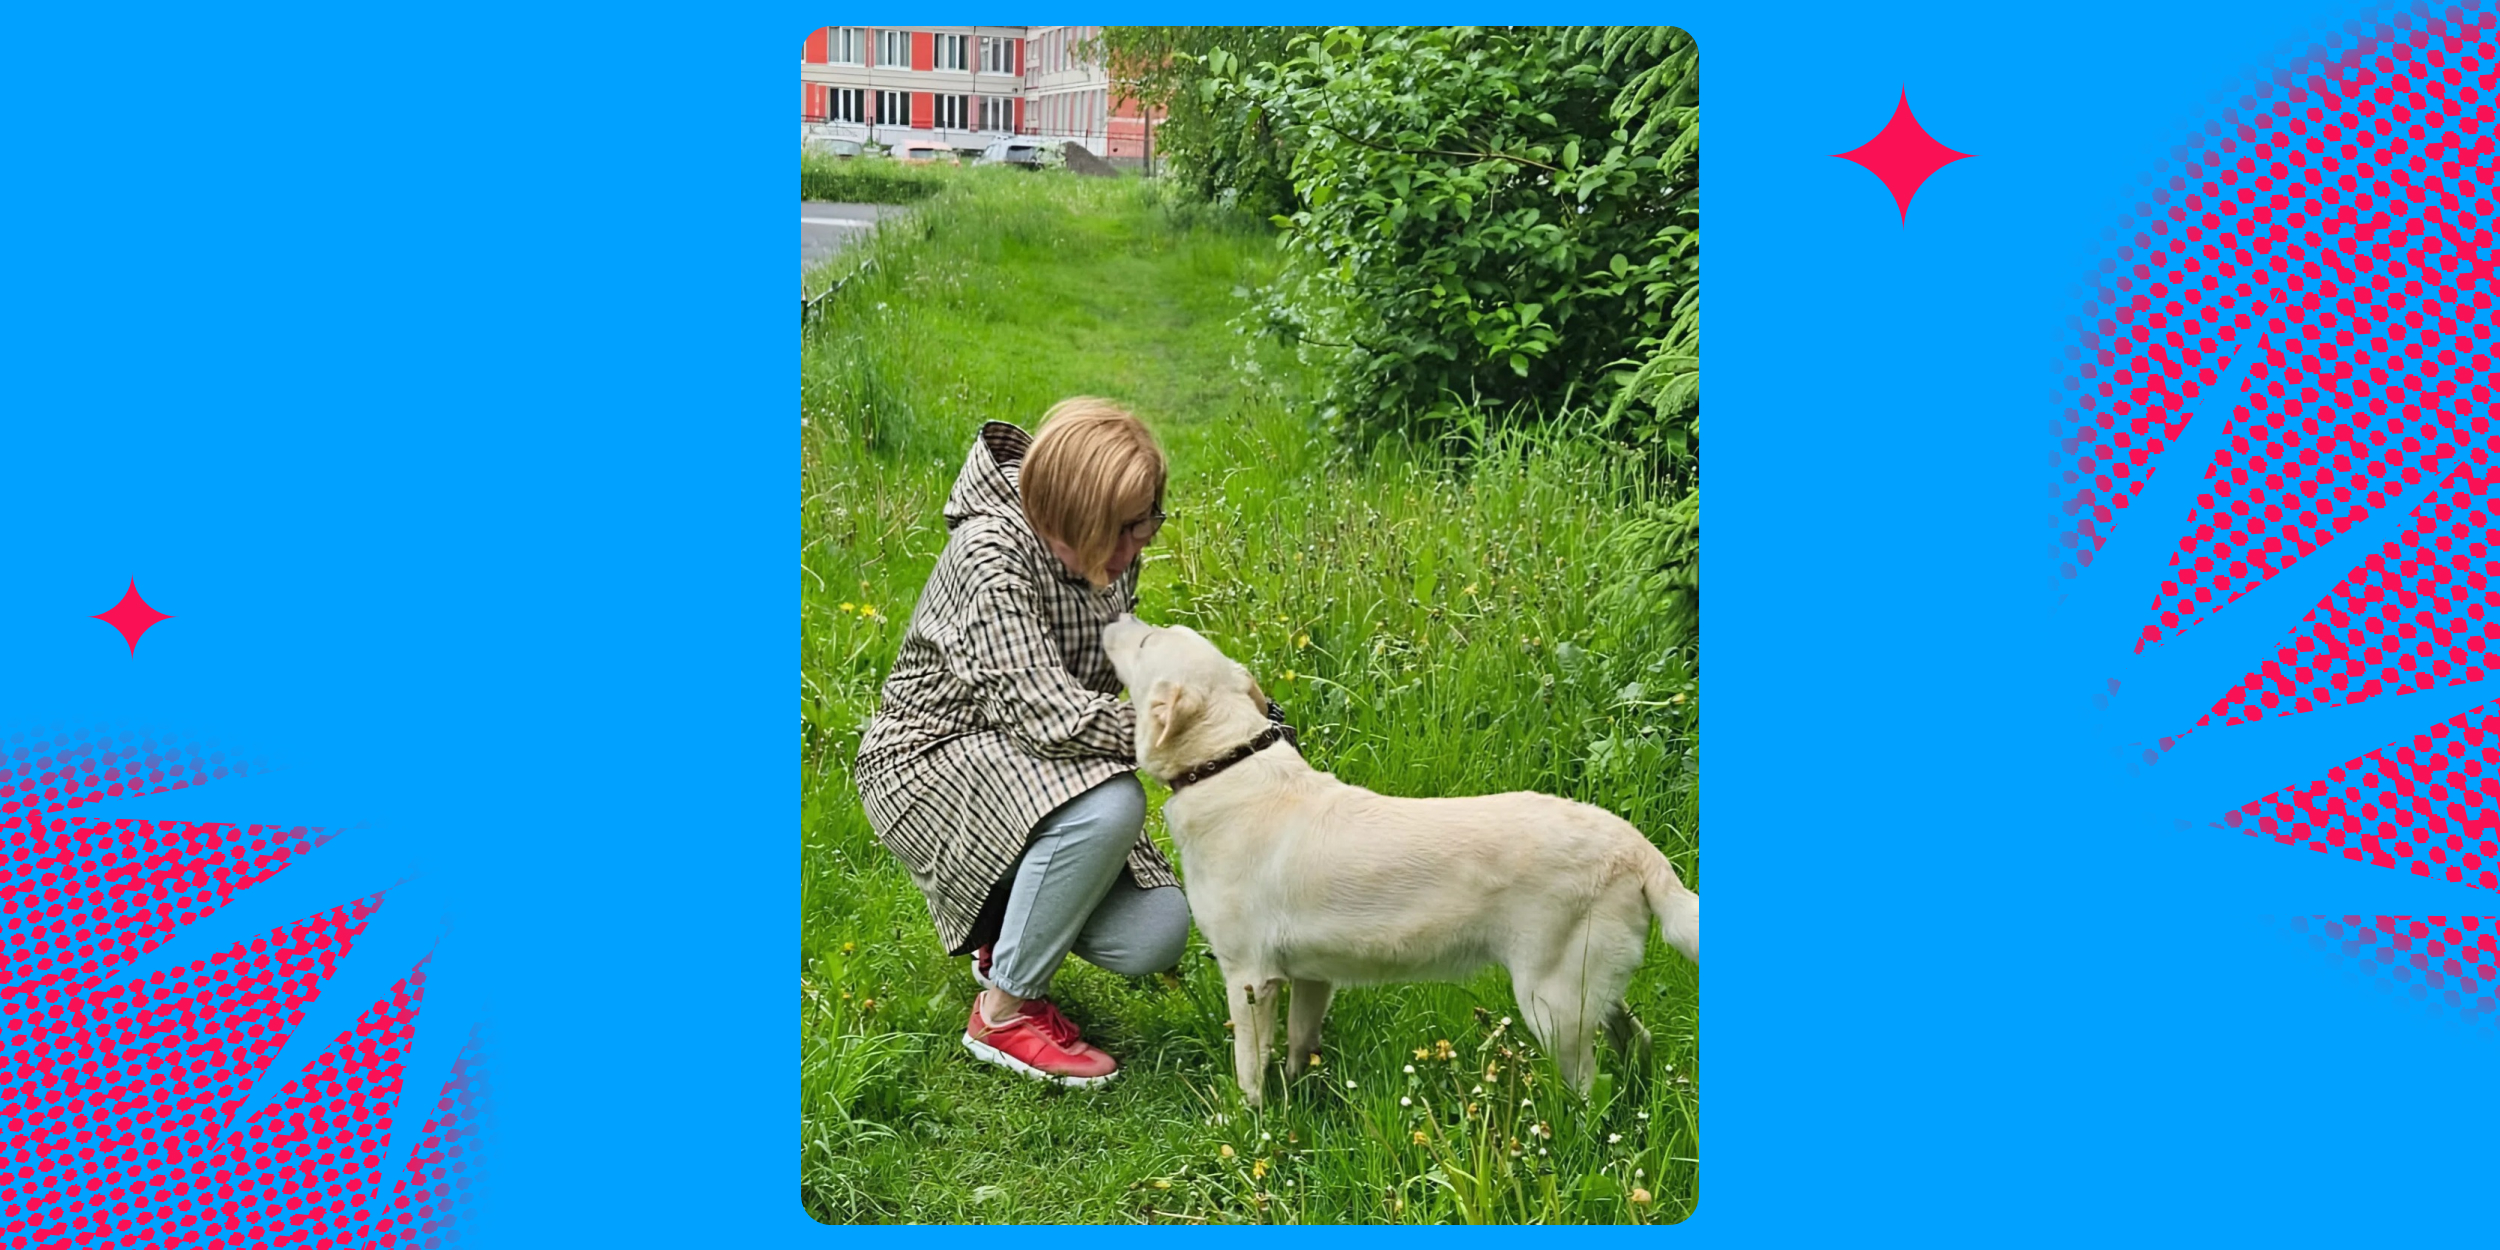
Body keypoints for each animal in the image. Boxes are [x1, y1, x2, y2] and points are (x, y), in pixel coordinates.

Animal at [1101, 615, 1699, 1106]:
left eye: (1148, 640)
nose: (1117, 613)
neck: (1226, 764)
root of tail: (1633, 844)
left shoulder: (1250, 979)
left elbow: (1250, 1071)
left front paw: (1250, 1125)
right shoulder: (1312, 977)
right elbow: (1298, 1047)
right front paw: (1299, 1100)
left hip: (1551, 1004)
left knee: (1590, 1090)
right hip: (1590, 989)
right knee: (1636, 1041)